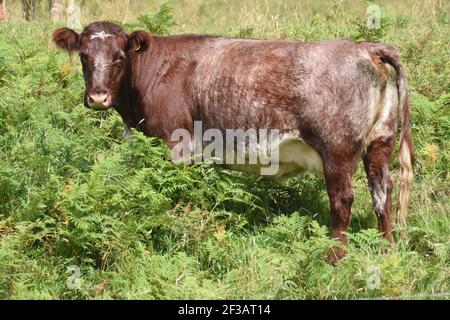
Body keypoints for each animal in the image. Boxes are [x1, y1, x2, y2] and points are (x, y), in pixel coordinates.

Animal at [53, 21, 414, 262]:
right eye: (84, 56)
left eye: (119, 57)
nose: (98, 97)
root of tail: (365, 46)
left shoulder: (175, 141)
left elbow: (173, 193)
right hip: (380, 141)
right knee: (383, 192)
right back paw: (388, 251)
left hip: (336, 150)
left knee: (343, 200)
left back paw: (335, 259)